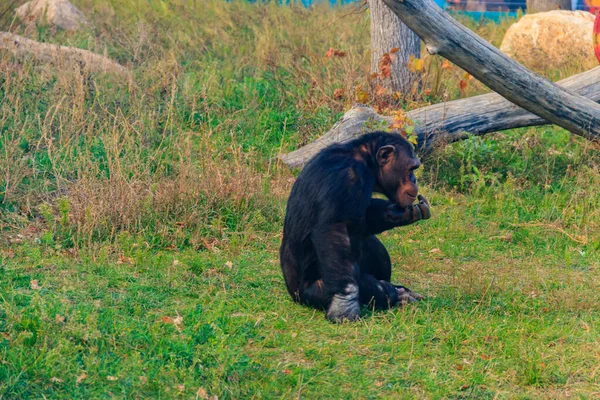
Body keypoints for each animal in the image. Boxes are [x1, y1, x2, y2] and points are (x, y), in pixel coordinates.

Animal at [278, 131, 428, 322]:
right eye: (411, 169)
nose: (414, 180)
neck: (366, 160)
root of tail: (293, 294)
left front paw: (395, 213)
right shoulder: (346, 177)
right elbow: (333, 230)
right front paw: (344, 305)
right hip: (311, 293)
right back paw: (392, 293)